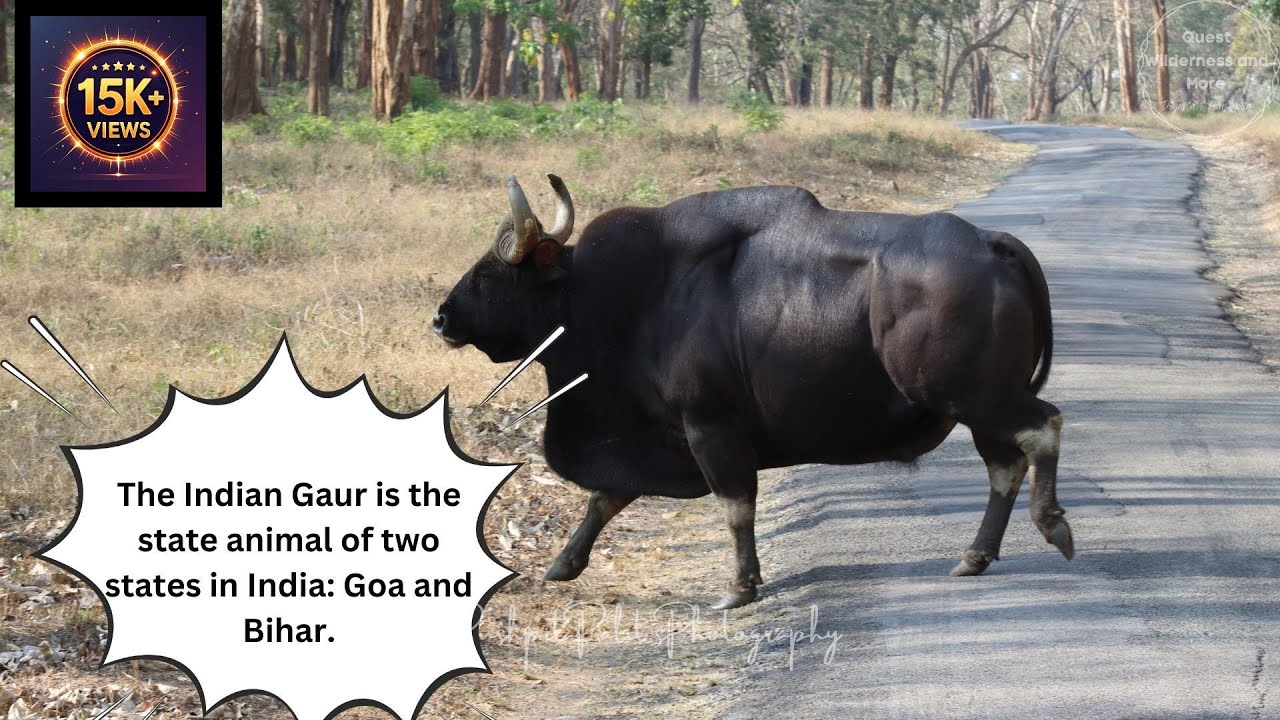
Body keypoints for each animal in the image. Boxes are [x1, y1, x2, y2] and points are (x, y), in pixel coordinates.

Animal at [434, 174, 1072, 609]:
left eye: (490, 273)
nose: (442, 318)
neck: (630, 298)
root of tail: (991, 244)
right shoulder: (653, 434)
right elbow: (607, 497)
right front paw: (563, 564)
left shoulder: (709, 428)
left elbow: (735, 505)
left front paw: (739, 587)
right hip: (976, 406)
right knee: (1005, 464)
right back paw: (976, 555)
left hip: (973, 394)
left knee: (1044, 427)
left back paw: (1052, 525)